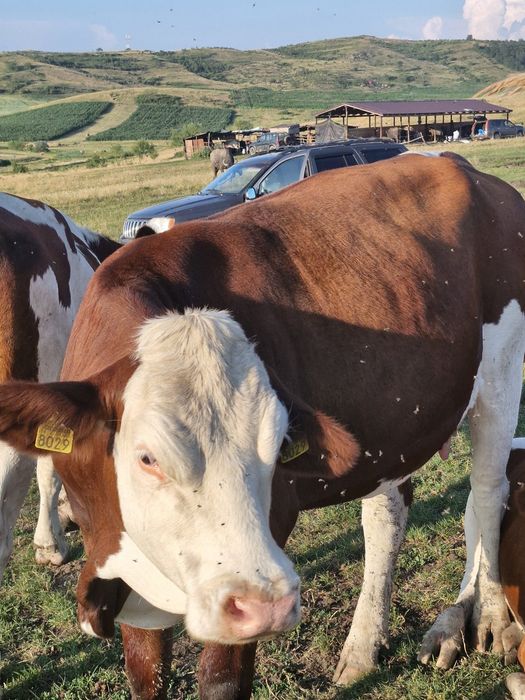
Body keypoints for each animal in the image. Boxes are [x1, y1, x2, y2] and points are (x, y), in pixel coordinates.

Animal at [0, 153, 523, 698]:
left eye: (277, 448)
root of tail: (459, 166)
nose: (269, 604)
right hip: (393, 420)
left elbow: (221, 680)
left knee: (488, 491)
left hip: (503, 367)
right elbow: (145, 673)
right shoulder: (127, 563)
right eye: (147, 457)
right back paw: (366, 644)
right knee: (389, 515)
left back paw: (486, 616)